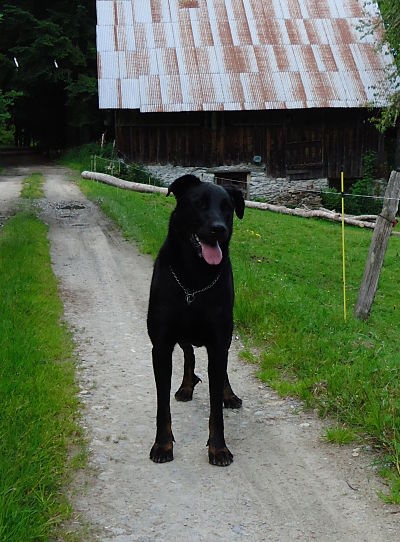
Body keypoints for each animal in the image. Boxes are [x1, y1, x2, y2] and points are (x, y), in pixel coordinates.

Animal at [148, 174, 244, 468]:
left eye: (227, 207)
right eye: (198, 203)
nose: (219, 229)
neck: (194, 277)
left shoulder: (218, 341)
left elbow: (215, 407)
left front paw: (218, 448)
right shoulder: (161, 345)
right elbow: (162, 405)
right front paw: (162, 444)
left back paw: (229, 395)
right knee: (189, 353)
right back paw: (186, 386)